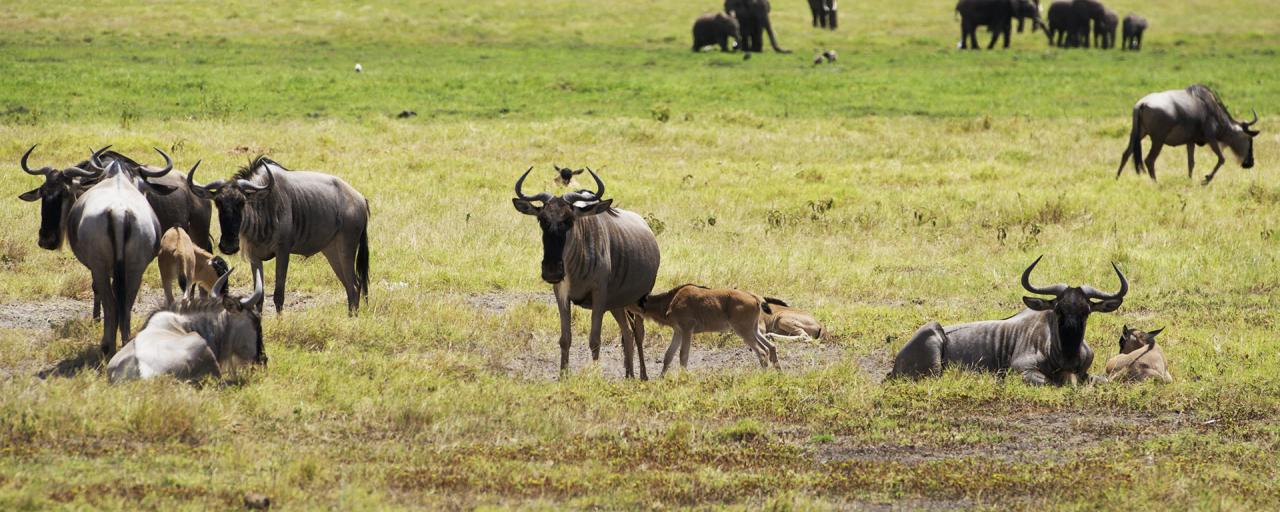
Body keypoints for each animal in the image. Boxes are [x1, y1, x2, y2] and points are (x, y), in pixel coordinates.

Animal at [629, 284, 778, 376]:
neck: (670, 300)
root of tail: (755, 297)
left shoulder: (687, 330)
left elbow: (683, 355)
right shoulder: (678, 331)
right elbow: (668, 355)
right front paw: (661, 378)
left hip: (743, 331)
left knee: (762, 352)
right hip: (753, 330)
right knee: (771, 346)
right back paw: (778, 372)